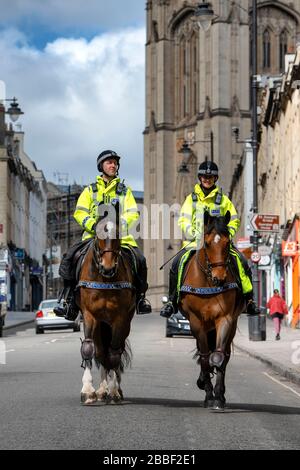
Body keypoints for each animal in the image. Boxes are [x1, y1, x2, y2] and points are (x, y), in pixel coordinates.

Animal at [77, 202, 135, 404]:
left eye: (118, 233)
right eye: (98, 233)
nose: (108, 267)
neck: (104, 278)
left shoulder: (120, 318)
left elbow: (115, 353)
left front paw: (114, 390)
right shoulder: (89, 315)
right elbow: (89, 348)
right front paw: (88, 391)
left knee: (114, 350)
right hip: (100, 323)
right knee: (101, 351)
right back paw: (101, 390)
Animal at [179, 211, 245, 410]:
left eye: (228, 242)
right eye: (207, 243)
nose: (220, 278)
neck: (208, 282)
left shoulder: (225, 318)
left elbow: (218, 355)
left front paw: (218, 397)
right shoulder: (196, 321)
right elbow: (204, 357)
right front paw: (208, 393)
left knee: (223, 354)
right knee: (203, 353)